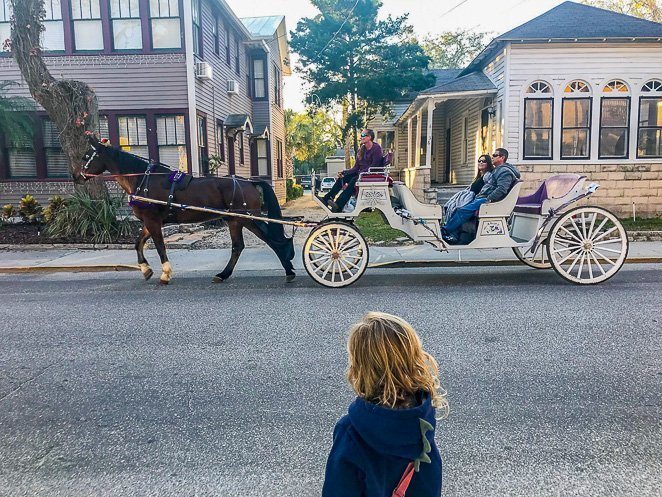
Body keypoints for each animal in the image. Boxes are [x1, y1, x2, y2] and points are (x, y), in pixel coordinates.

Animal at [75, 134, 296, 284]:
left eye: (87, 155)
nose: (76, 176)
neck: (143, 179)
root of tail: (249, 182)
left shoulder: (153, 221)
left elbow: (160, 247)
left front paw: (165, 273)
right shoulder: (150, 221)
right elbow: (138, 243)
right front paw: (146, 269)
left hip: (247, 218)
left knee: (272, 241)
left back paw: (289, 270)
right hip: (234, 220)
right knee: (238, 247)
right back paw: (223, 274)